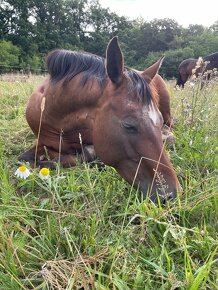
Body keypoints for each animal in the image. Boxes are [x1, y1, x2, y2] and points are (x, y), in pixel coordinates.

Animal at [19, 36, 181, 203]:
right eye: (128, 125)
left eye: (158, 121)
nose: (171, 194)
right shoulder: (42, 141)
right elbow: (25, 158)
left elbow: (83, 155)